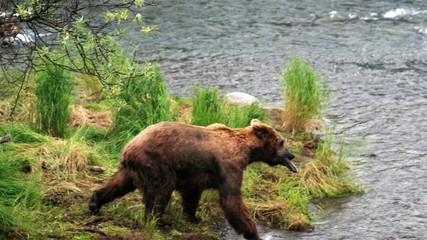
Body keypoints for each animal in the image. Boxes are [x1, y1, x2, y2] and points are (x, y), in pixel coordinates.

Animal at [89, 119, 298, 239]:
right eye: (282, 142)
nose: (292, 155)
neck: (247, 151)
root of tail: (129, 146)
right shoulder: (228, 165)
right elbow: (232, 199)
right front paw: (252, 231)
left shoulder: (195, 173)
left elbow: (192, 194)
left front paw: (194, 216)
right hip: (156, 163)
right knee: (161, 190)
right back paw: (159, 220)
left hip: (133, 168)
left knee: (119, 183)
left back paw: (95, 201)